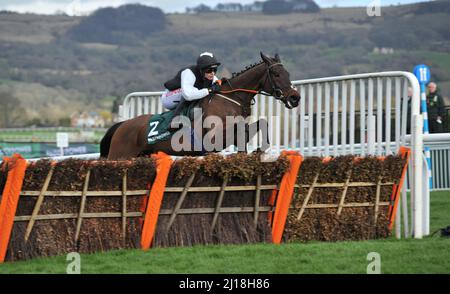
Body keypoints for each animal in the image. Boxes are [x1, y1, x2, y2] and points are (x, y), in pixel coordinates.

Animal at [101, 51, 298, 160]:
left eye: (288, 73)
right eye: (276, 74)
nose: (295, 97)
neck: (231, 98)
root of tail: (122, 125)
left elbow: (260, 124)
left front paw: (257, 150)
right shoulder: (214, 138)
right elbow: (240, 129)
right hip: (120, 155)